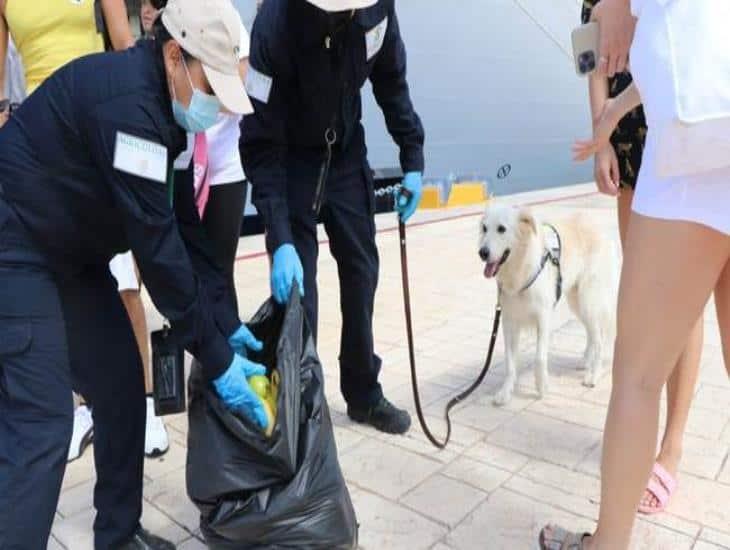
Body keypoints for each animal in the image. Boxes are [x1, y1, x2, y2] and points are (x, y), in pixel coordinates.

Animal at [478, 203, 616, 406]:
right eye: (485, 228)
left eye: (501, 229)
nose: (482, 253)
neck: (521, 269)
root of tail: (598, 226)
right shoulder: (509, 321)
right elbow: (510, 362)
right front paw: (505, 392)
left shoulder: (543, 317)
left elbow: (539, 358)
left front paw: (541, 387)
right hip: (576, 301)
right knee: (592, 332)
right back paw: (586, 361)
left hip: (588, 299)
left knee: (599, 339)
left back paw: (593, 375)